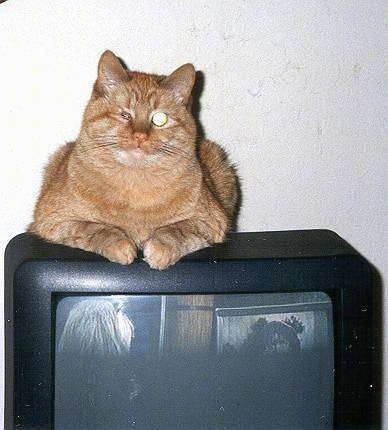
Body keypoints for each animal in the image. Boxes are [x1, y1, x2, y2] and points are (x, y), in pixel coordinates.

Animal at [28, 50, 238, 268]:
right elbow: (94, 228)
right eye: (125, 114)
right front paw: (120, 244)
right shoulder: (52, 220)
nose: (140, 136)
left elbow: (176, 230)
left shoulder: (210, 221)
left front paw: (160, 247)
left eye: (160, 119)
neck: (134, 187)